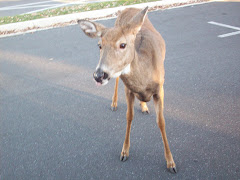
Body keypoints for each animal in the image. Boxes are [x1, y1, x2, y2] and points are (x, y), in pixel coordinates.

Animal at [78, 6, 176, 173]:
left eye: (122, 45)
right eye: (99, 45)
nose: (99, 75)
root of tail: (129, 8)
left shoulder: (160, 88)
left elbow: (161, 122)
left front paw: (171, 162)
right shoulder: (128, 89)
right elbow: (129, 117)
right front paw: (124, 152)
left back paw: (144, 106)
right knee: (117, 79)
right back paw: (114, 104)